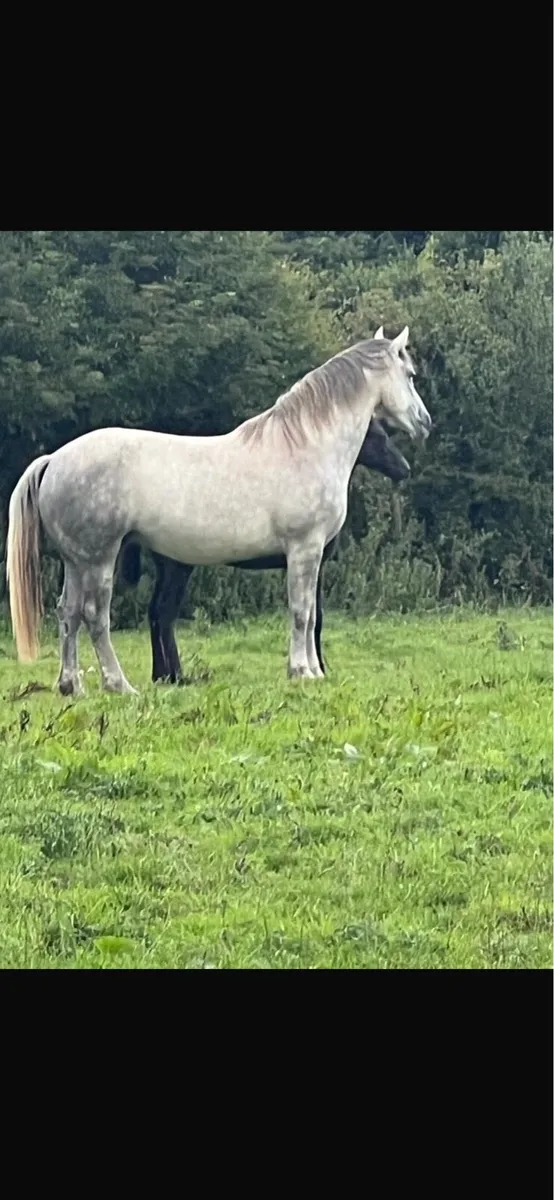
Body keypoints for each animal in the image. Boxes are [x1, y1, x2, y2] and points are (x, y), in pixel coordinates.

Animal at [119, 418, 411, 684]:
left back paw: (162, 675)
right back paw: (177, 676)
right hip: (178, 567)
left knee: (156, 613)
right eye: (377, 436)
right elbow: (314, 616)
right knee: (164, 614)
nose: (403, 469)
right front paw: (316, 668)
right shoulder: (310, 560)